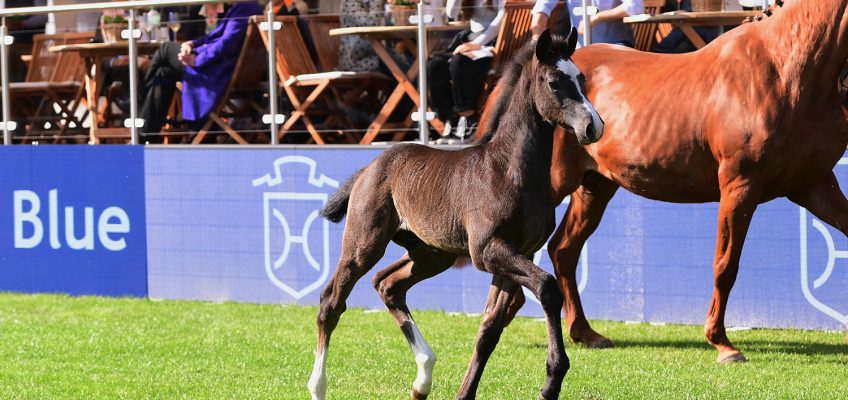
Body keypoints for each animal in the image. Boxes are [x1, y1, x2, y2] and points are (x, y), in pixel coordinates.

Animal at [310, 31, 604, 400]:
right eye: (554, 82)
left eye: (581, 79)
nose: (594, 126)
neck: (508, 169)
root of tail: (369, 167)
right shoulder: (488, 251)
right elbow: (548, 287)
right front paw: (552, 380)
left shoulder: (516, 253)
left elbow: (489, 330)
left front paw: (465, 392)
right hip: (364, 244)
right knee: (332, 301)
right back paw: (318, 386)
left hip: (432, 254)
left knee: (387, 284)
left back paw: (423, 378)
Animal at [484, 0, 848, 364]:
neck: (784, 70)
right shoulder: (740, 187)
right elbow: (725, 265)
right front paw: (722, 343)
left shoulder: (814, 186)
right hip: (556, 183)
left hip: (595, 187)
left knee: (563, 250)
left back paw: (582, 331)